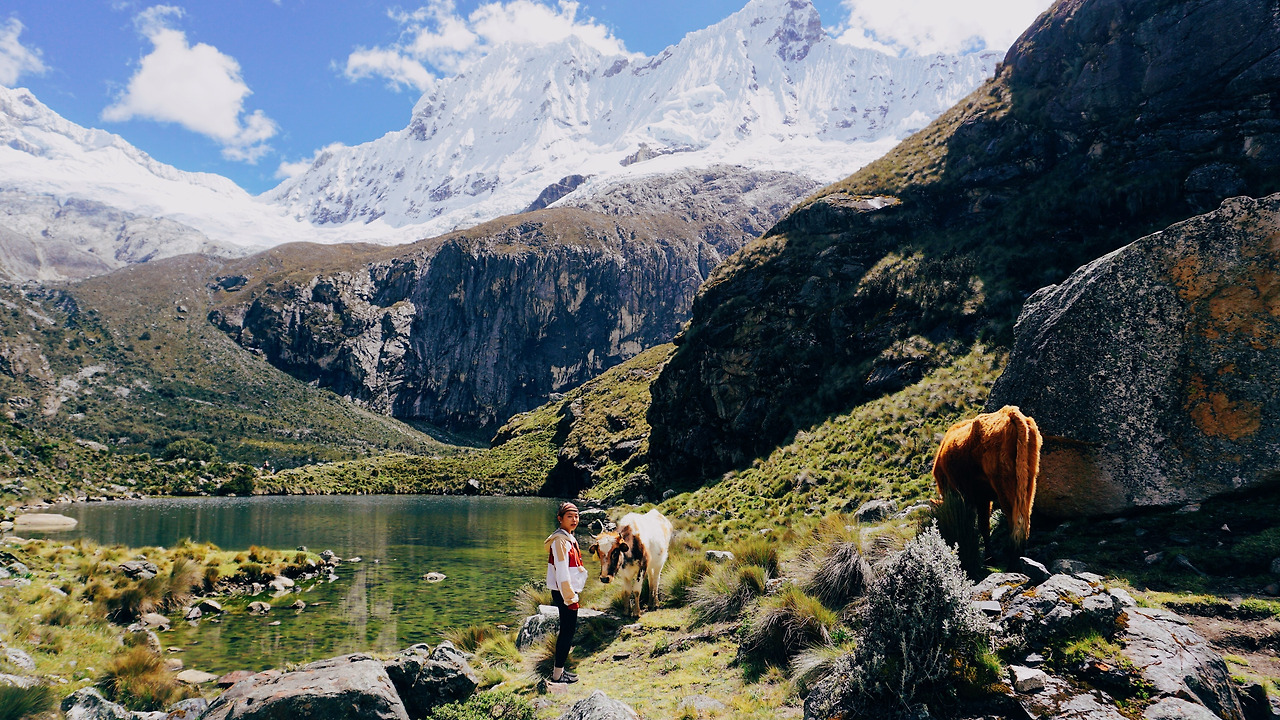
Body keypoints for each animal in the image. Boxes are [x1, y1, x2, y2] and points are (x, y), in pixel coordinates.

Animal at [932, 405, 1042, 554]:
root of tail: (1009, 412)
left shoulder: (975, 498)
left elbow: (980, 526)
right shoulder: (982, 498)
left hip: (1005, 486)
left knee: (1014, 522)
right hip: (1029, 481)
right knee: (1025, 520)